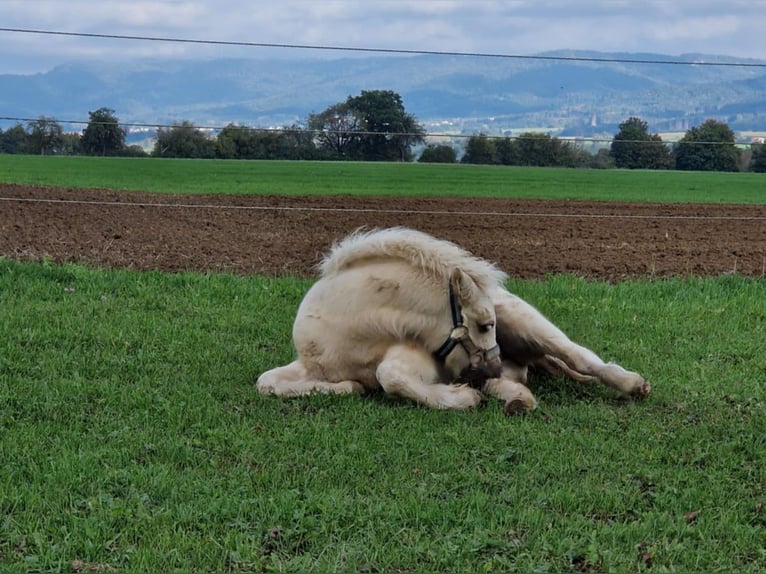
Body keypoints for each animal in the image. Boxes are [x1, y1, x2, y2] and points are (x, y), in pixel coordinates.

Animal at [256, 227, 651, 413]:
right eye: (484, 325)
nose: (493, 365)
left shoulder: (416, 358)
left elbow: (390, 375)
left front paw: (461, 398)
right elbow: (266, 383)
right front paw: (350, 386)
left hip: (529, 325)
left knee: (580, 357)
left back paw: (633, 384)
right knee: (525, 382)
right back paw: (515, 398)